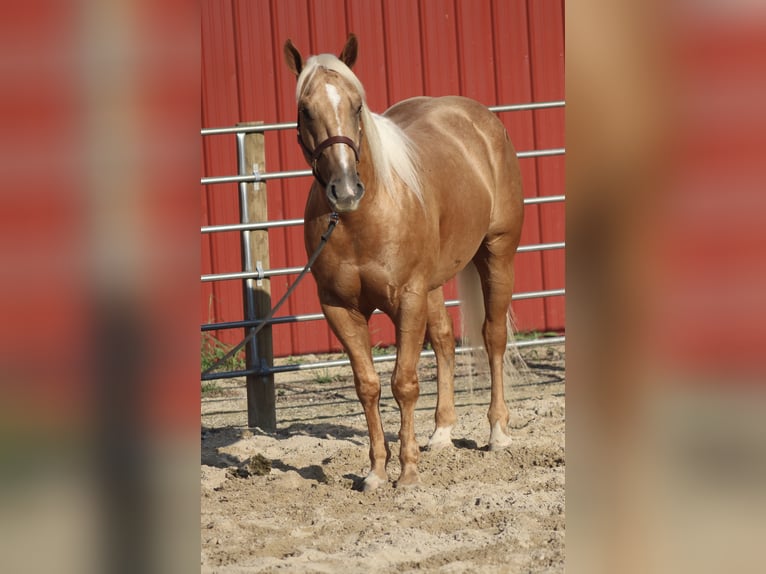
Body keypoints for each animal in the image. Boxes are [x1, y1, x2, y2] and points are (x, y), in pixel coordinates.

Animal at [284, 34, 524, 491]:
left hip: (497, 254)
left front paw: (408, 473)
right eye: (305, 110)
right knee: (445, 340)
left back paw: (498, 433)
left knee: (493, 337)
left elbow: (405, 383)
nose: (345, 190)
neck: (361, 220)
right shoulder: (339, 308)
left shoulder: (407, 299)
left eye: (356, 105)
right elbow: (368, 386)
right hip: (434, 283)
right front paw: (376, 472)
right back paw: (442, 432)